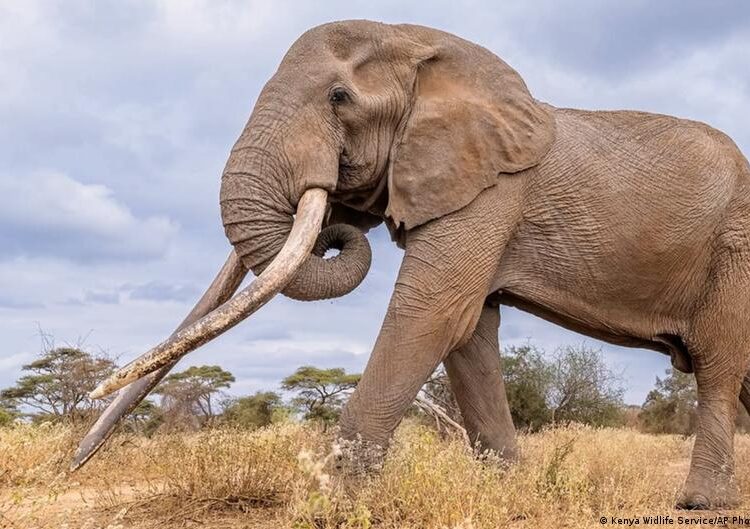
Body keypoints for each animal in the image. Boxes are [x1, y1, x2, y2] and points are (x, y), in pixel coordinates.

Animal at [78, 20, 750, 510]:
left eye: (339, 98)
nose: (69, 463)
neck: (423, 47)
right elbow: (470, 334)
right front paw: (510, 493)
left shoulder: (490, 191)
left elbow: (431, 315)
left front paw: (332, 505)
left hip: (733, 252)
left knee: (717, 367)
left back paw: (699, 505)